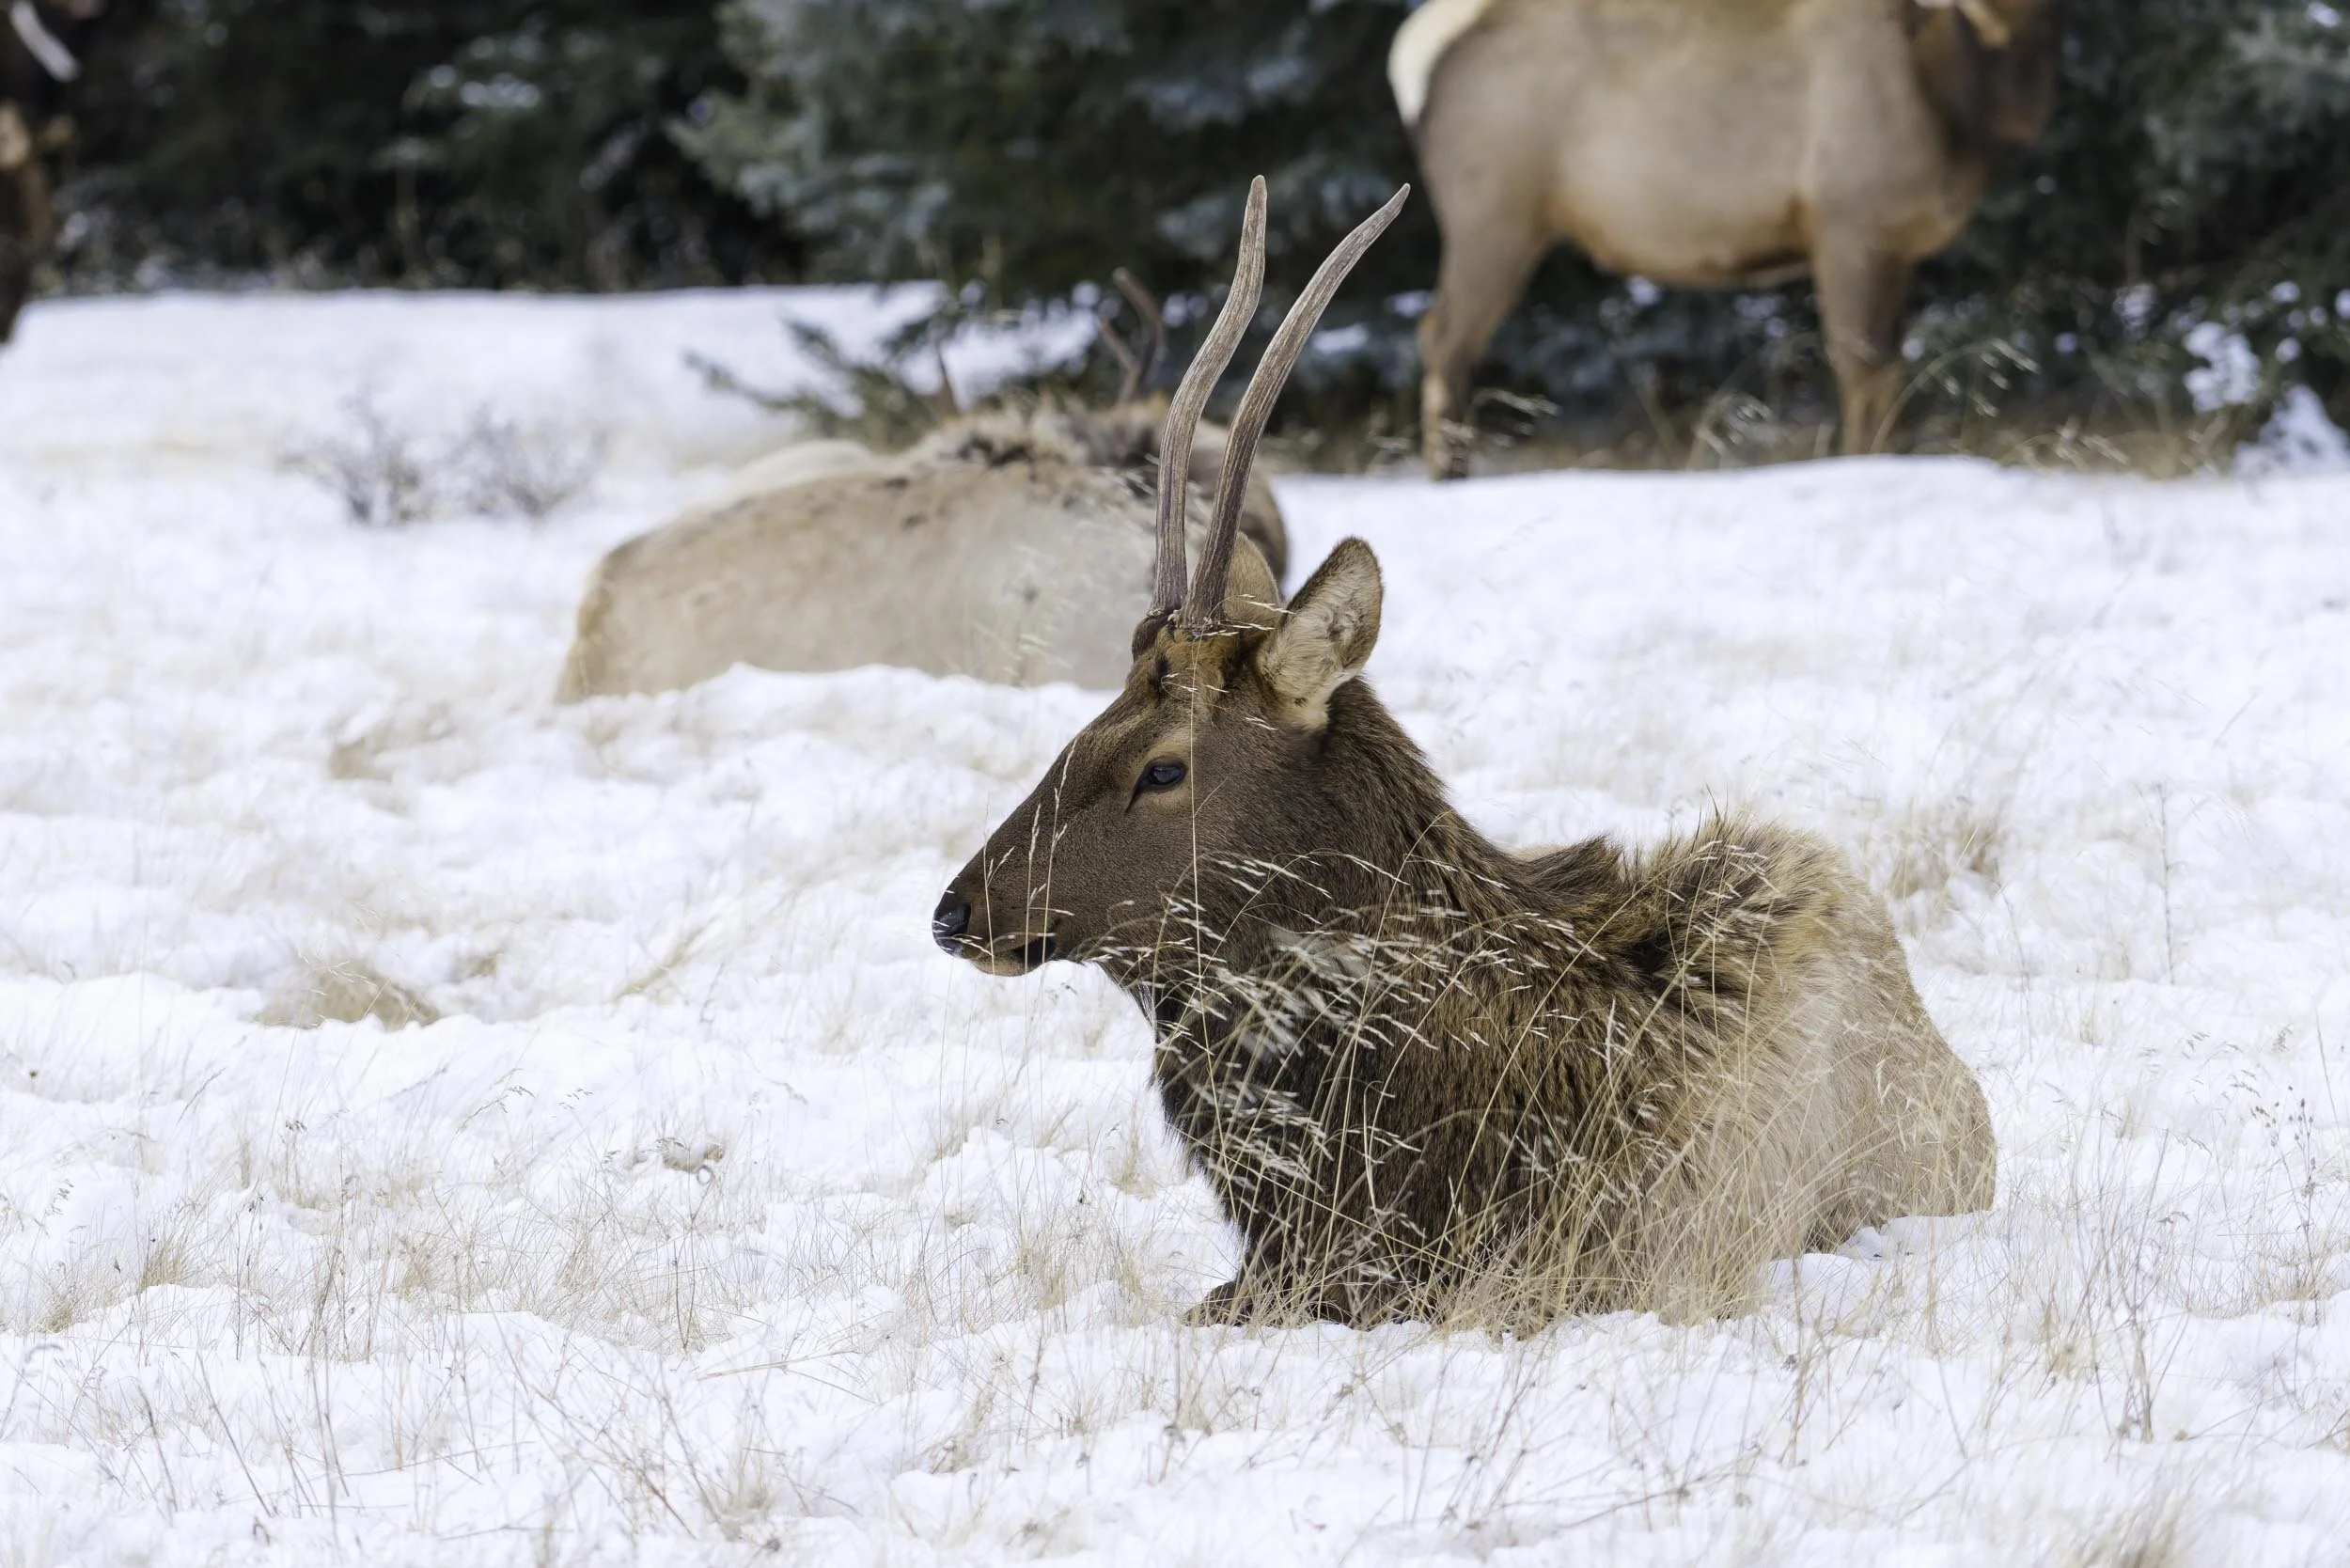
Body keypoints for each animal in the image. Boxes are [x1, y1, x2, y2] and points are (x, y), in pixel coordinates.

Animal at [1392, 0, 2068, 477]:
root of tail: (1410, 59)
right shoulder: (1849, 221)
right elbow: (1864, 368)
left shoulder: (1895, 246)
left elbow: (1890, 370)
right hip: (1493, 210)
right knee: (1444, 336)